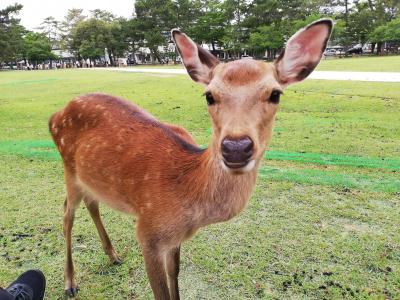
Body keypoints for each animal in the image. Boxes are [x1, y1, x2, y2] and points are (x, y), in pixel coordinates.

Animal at [48, 19, 332, 300]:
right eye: (209, 95)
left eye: (275, 94)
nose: (236, 147)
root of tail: (55, 115)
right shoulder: (147, 232)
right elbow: (161, 291)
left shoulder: (175, 239)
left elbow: (175, 273)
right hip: (68, 168)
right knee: (66, 214)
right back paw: (70, 282)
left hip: (88, 176)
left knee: (92, 202)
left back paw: (113, 255)